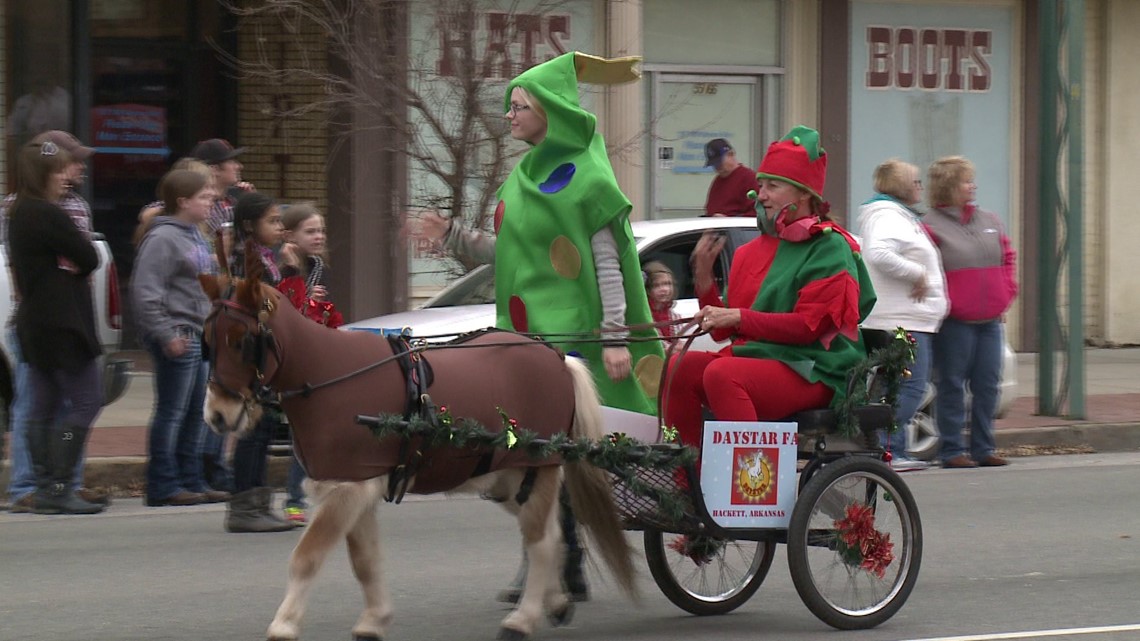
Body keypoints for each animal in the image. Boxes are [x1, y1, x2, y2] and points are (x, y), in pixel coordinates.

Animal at [200, 262, 638, 634]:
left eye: (241, 342)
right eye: (206, 341)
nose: (217, 416)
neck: (331, 375)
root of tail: (558, 357)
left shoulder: (346, 490)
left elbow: (307, 558)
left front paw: (284, 625)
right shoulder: (359, 488)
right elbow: (365, 562)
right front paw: (374, 620)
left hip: (536, 467)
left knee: (541, 542)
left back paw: (522, 619)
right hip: (506, 478)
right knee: (550, 535)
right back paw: (556, 601)